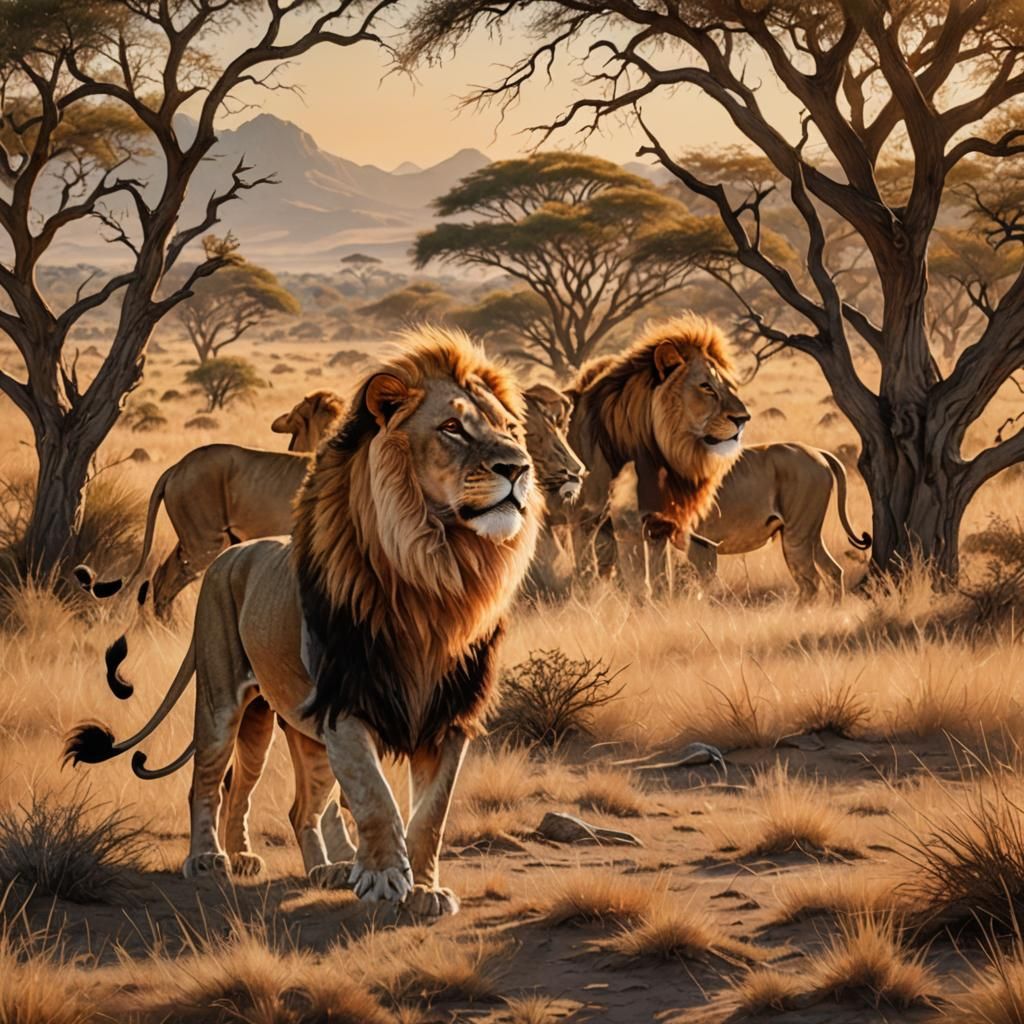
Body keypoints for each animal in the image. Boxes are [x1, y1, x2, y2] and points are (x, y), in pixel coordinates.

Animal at [75, 391, 346, 616]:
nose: (279, 422)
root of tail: (177, 466)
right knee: (165, 579)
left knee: (164, 574)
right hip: (205, 541)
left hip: (194, 537)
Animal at [564, 315, 749, 584]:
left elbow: (661, 579)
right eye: (706, 386)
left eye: (730, 386)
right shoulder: (591, 519)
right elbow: (611, 576)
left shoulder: (658, 524)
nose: (744, 419)